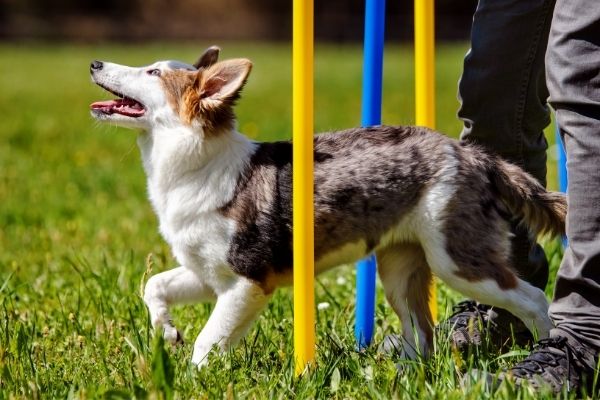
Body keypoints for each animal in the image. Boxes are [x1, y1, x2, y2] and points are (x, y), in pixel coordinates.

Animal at [90, 47, 568, 368]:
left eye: (152, 72)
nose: (95, 64)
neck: (192, 165)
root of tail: (477, 156)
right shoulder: (208, 274)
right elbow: (154, 285)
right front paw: (167, 330)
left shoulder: (248, 281)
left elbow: (209, 339)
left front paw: (194, 376)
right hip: (400, 267)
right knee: (422, 332)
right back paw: (405, 372)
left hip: (458, 259)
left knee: (533, 298)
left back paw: (549, 347)